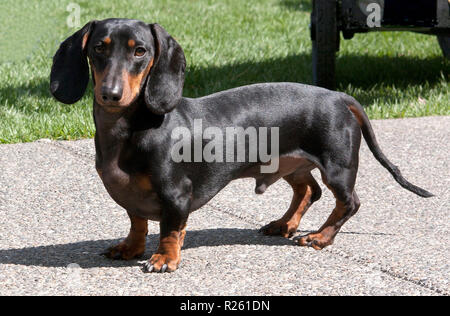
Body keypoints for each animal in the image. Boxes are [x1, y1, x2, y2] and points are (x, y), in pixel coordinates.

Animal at [49, 18, 432, 272]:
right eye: (98, 48)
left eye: (140, 51)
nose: (110, 94)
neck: (130, 128)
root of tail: (340, 96)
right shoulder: (132, 195)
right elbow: (137, 221)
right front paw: (131, 247)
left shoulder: (176, 193)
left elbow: (170, 228)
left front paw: (165, 258)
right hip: (289, 163)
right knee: (308, 191)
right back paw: (284, 225)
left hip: (338, 167)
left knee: (348, 202)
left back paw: (321, 237)